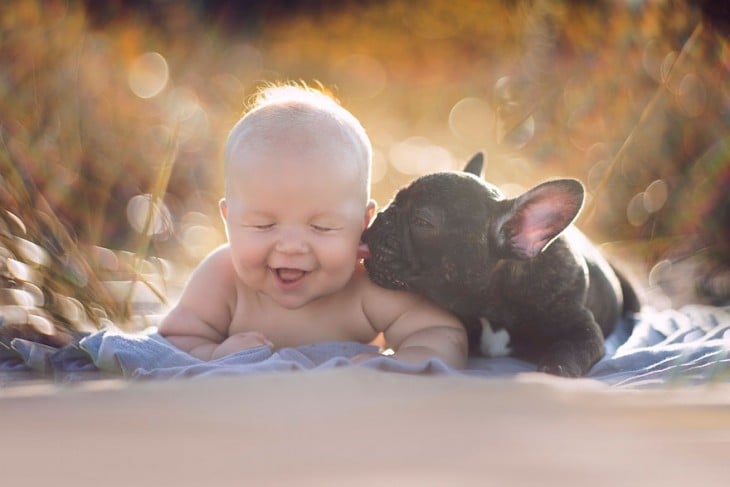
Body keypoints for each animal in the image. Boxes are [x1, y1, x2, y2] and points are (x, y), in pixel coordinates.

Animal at [364, 152, 636, 378]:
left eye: (422, 221)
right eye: (394, 199)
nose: (380, 217)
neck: (493, 306)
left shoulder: (584, 329)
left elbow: (569, 352)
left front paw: (553, 372)